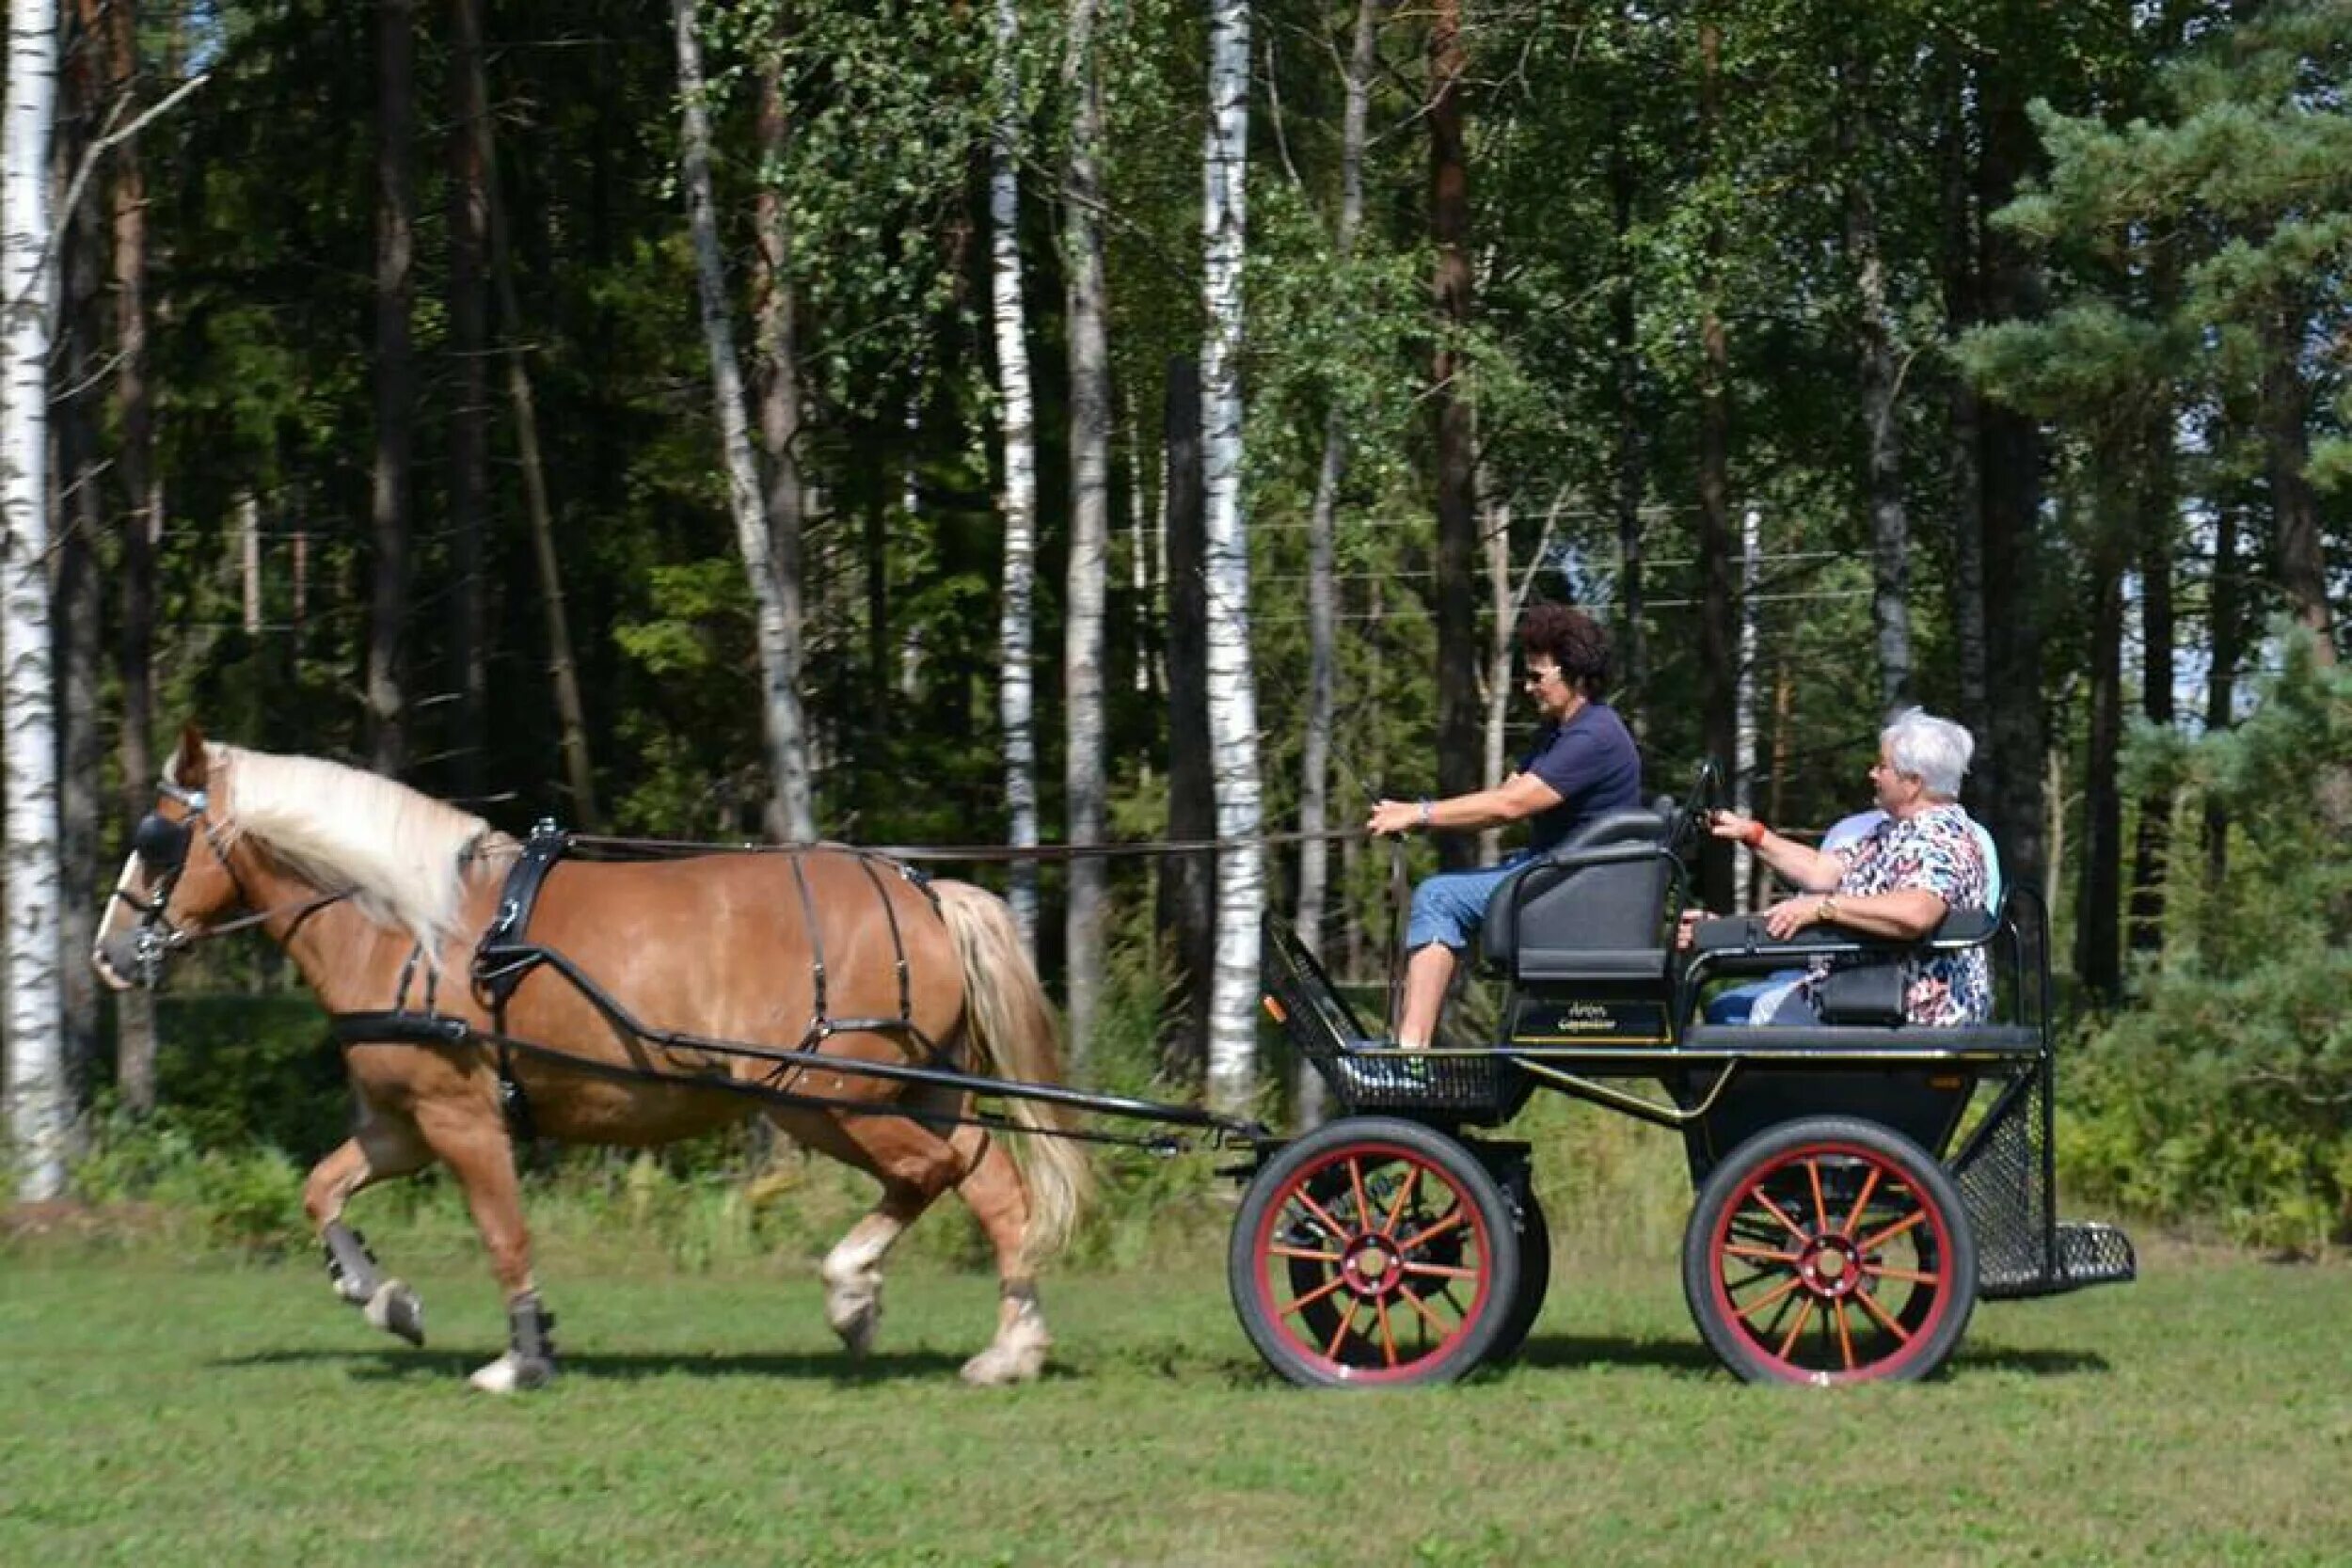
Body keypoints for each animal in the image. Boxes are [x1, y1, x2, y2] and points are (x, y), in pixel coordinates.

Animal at [87, 728, 1087, 1391]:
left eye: (154, 840)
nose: (108, 953)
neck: (414, 926)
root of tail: (925, 891)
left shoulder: (461, 1115)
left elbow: (504, 1232)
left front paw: (523, 1354)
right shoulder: (400, 1125)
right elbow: (320, 1190)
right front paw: (384, 1298)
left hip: (830, 1097)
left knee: (936, 1173)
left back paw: (855, 1291)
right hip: (909, 1093)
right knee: (993, 1188)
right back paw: (1009, 1347)